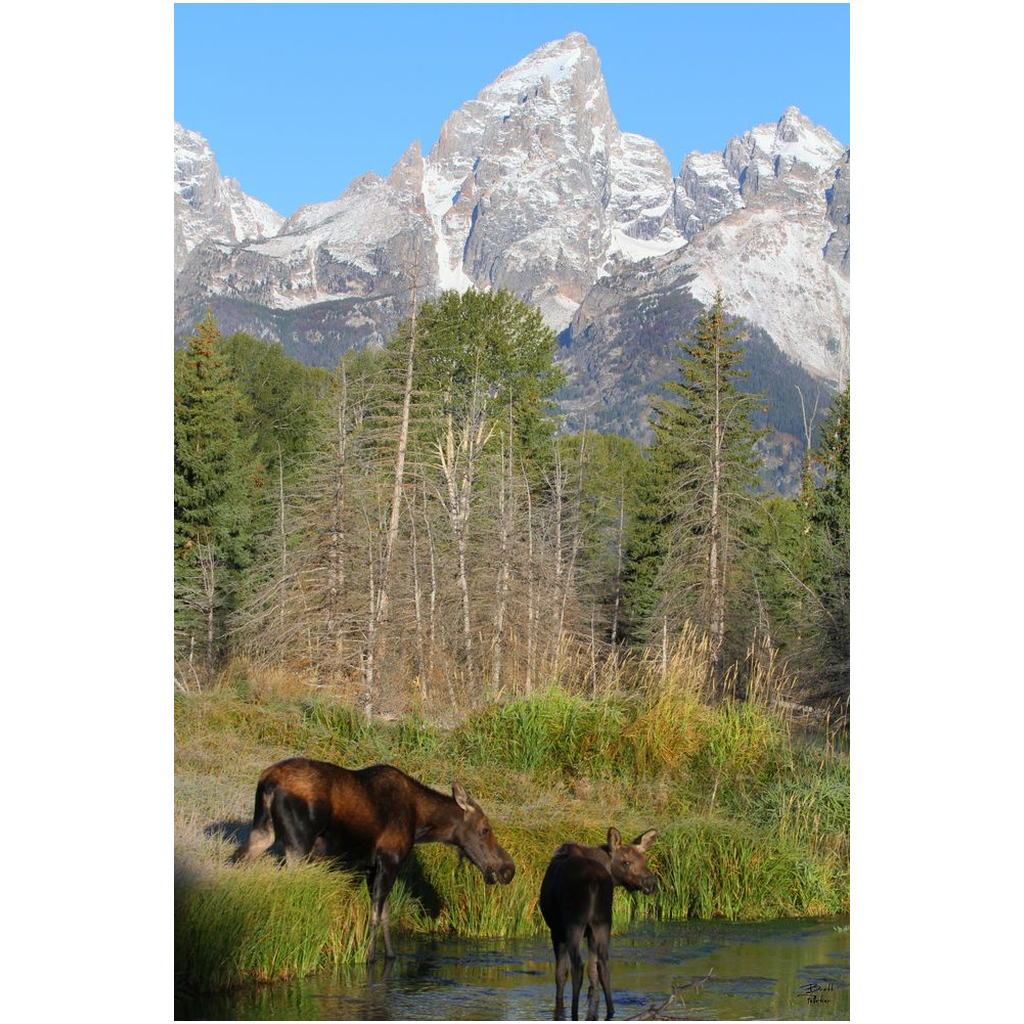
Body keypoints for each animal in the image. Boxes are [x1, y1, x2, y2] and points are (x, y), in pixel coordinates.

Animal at [235, 753, 516, 958]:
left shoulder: (372, 867)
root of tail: (268, 781)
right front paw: (368, 957)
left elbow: (385, 915)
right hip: (297, 846)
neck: (420, 824)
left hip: (262, 832)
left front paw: (389, 956)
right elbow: (375, 916)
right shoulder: (388, 860)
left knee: (237, 862)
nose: (508, 869)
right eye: (485, 829)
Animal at [540, 827, 659, 1019]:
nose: (651, 884)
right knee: (604, 966)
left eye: (644, 860)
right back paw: (611, 1010)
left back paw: (574, 1013)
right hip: (603, 922)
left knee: (577, 967)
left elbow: (560, 973)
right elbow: (593, 972)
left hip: (575, 923)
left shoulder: (556, 930)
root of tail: (594, 880)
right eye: (626, 862)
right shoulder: (591, 931)